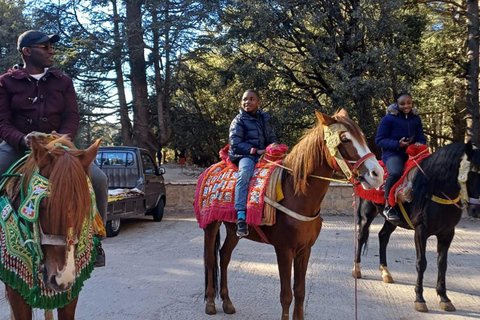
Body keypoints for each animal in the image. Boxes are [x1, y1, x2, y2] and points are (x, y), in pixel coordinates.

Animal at [201, 109, 384, 318]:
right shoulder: (284, 250)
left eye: (361, 136)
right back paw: (210, 303)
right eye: (344, 138)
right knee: (210, 259)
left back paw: (227, 302)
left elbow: (300, 291)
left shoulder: (305, 249)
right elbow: (286, 295)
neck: (295, 194)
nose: (377, 174)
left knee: (224, 256)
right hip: (211, 225)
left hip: (232, 230)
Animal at [352, 142, 480, 312]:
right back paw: (357, 270)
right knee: (361, 236)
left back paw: (386, 273)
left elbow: (442, 264)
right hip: (367, 213)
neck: (434, 187)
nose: (475, 210)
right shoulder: (420, 231)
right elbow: (421, 263)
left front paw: (444, 298)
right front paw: (420, 299)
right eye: (471, 173)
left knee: (383, 236)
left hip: (392, 221)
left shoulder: (447, 233)